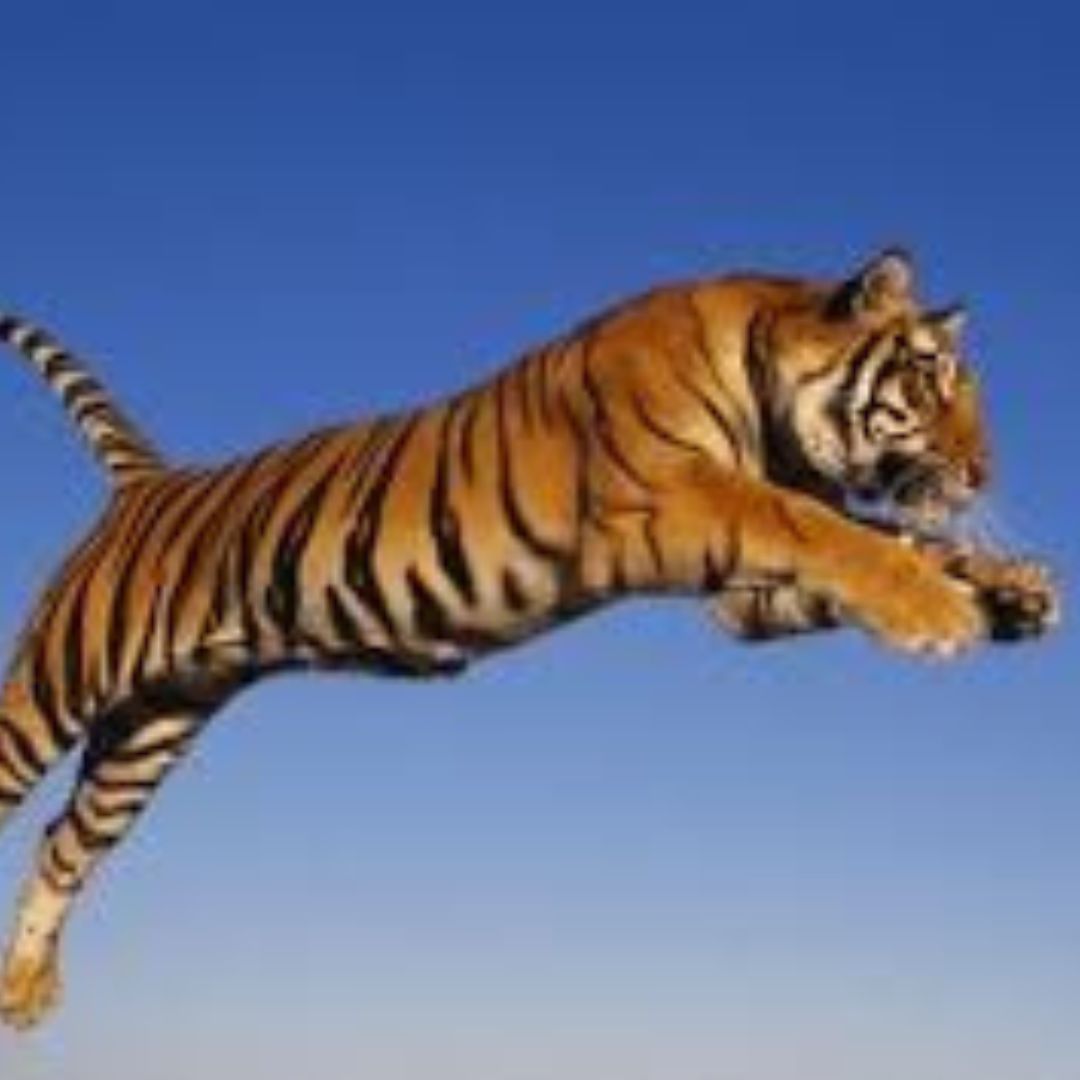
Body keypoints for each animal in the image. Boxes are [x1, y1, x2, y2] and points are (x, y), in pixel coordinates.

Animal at [0, 249, 1058, 1029]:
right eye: (931, 379)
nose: (984, 471)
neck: (773, 407)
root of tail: (145, 483)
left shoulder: (741, 599)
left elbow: (881, 536)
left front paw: (1012, 588)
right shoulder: (677, 501)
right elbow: (827, 528)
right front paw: (941, 612)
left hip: (152, 727)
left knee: (64, 841)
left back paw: (23, 991)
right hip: (57, 685)